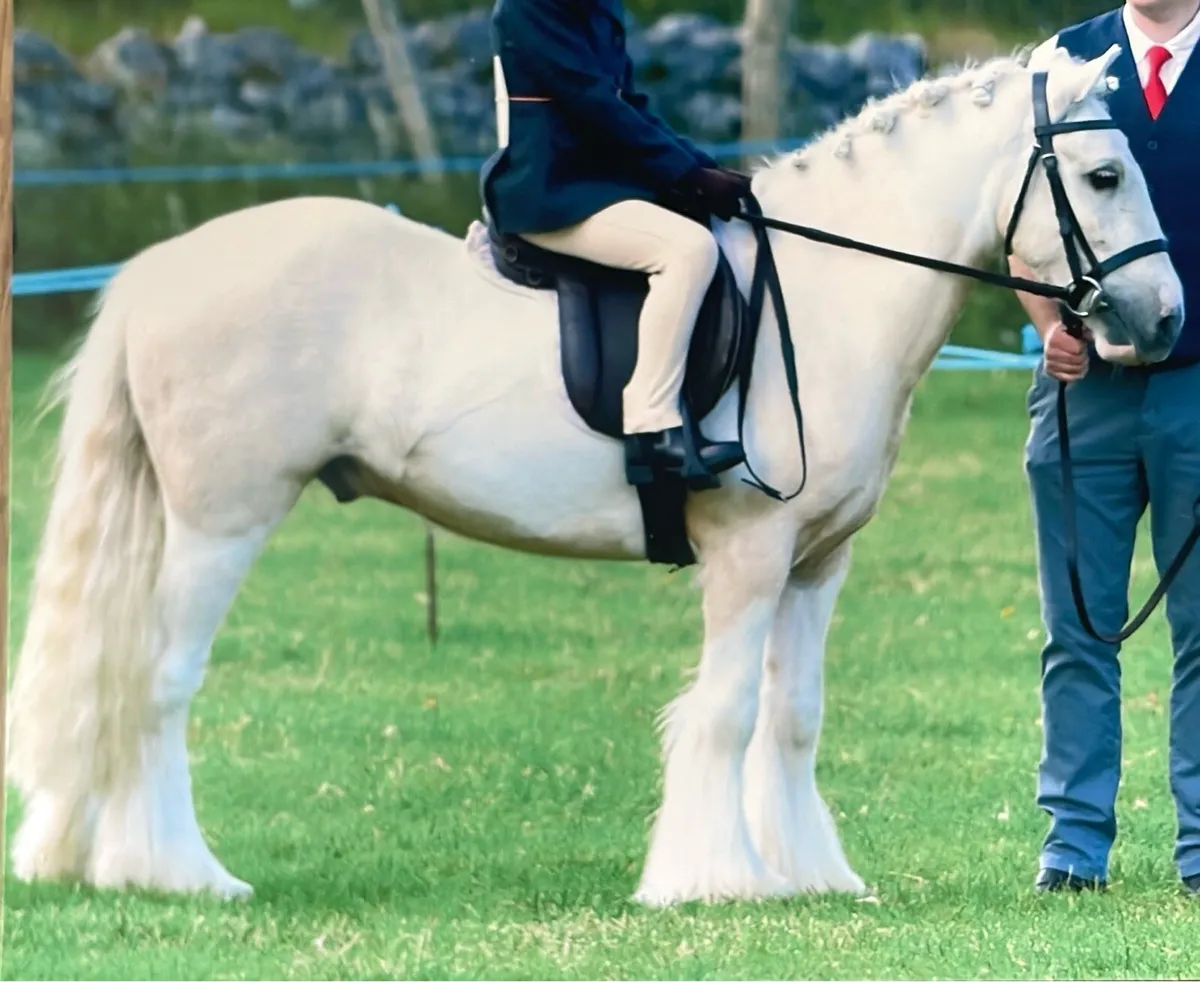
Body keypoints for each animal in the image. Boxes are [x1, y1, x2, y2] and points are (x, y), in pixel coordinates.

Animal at [6, 44, 1184, 907]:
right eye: (1105, 175)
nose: (1165, 320)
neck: (826, 293)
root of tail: (161, 270)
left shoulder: (815, 564)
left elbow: (792, 714)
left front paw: (811, 876)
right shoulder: (750, 551)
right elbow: (723, 711)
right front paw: (713, 882)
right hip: (222, 522)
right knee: (159, 682)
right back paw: (177, 874)